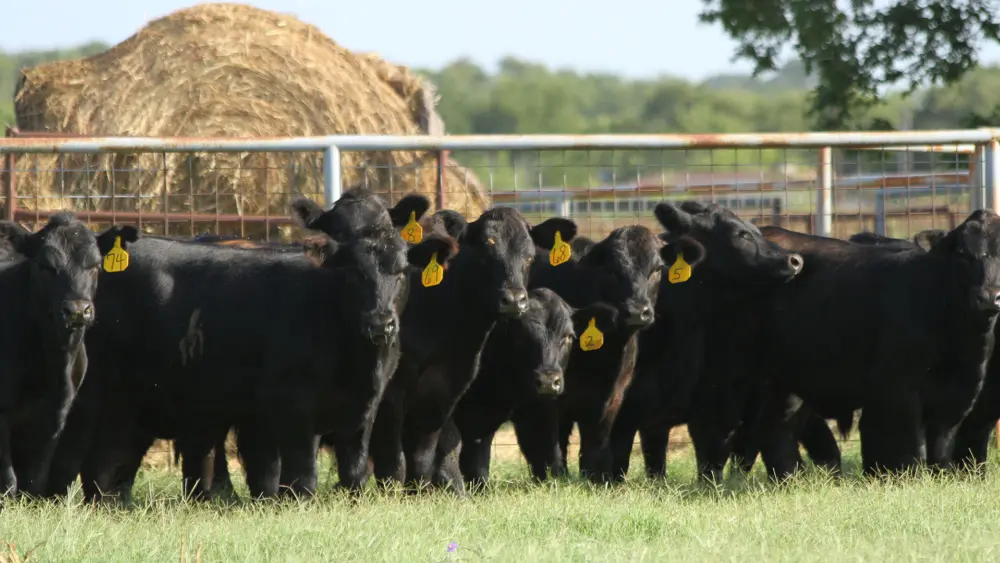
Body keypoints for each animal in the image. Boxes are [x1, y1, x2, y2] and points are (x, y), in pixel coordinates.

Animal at [0, 213, 133, 498]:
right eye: (46, 267)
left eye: (95, 266)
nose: (77, 310)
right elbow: (8, 479)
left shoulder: (56, 415)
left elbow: (34, 479)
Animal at [507, 225, 707, 484]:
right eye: (612, 270)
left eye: (657, 269)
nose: (637, 312)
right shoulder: (542, 398)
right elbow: (547, 450)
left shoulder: (611, 402)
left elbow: (597, 455)